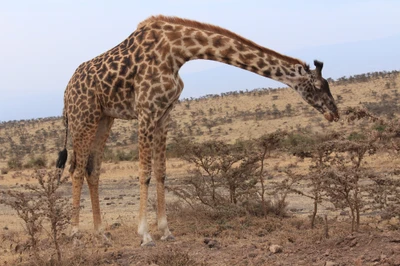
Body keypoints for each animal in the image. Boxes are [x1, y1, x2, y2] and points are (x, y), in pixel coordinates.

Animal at [55, 15, 338, 247]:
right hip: (84, 117)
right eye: (318, 86)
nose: (334, 113)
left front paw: (166, 231)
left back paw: (102, 234)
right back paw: (75, 235)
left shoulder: (164, 112)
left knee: (92, 170)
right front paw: (145, 235)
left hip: (104, 118)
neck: (177, 51)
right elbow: (144, 172)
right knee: (76, 170)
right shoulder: (145, 110)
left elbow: (161, 172)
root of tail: (66, 92)